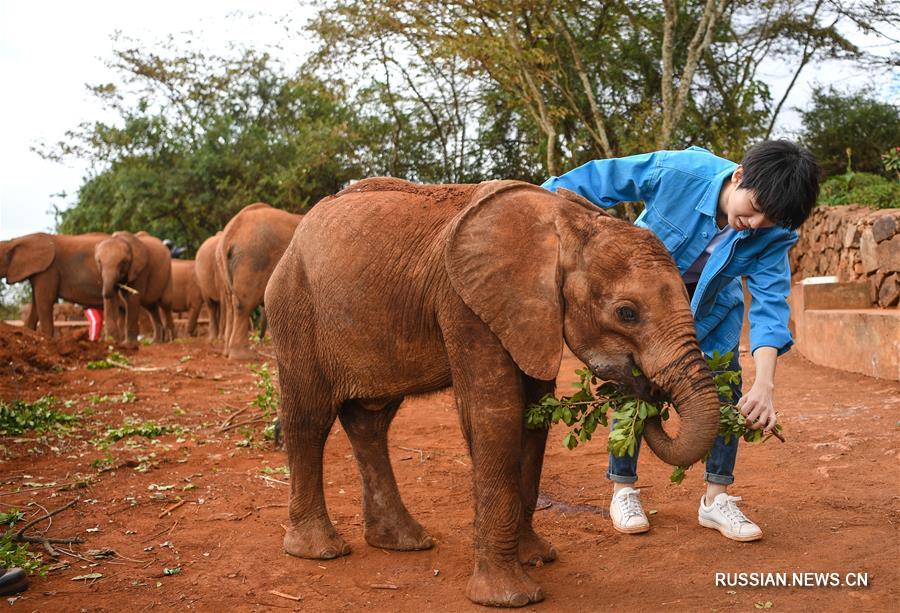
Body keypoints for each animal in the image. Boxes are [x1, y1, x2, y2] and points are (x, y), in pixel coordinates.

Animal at [217, 203, 302, 360]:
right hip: (252, 258)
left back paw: (228, 353)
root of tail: (230, 233)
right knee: (244, 304)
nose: (261, 340)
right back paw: (244, 356)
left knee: (230, 302)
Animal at [264, 177, 720, 608]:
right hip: (294, 307)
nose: (643, 386)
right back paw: (319, 551)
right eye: (626, 313)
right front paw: (511, 597)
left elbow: (533, 416)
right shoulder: (465, 303)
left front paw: (537, 557)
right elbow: (496, 414)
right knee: (310, 418)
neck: (567, 223)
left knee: (370, 422)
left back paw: (404, 542)